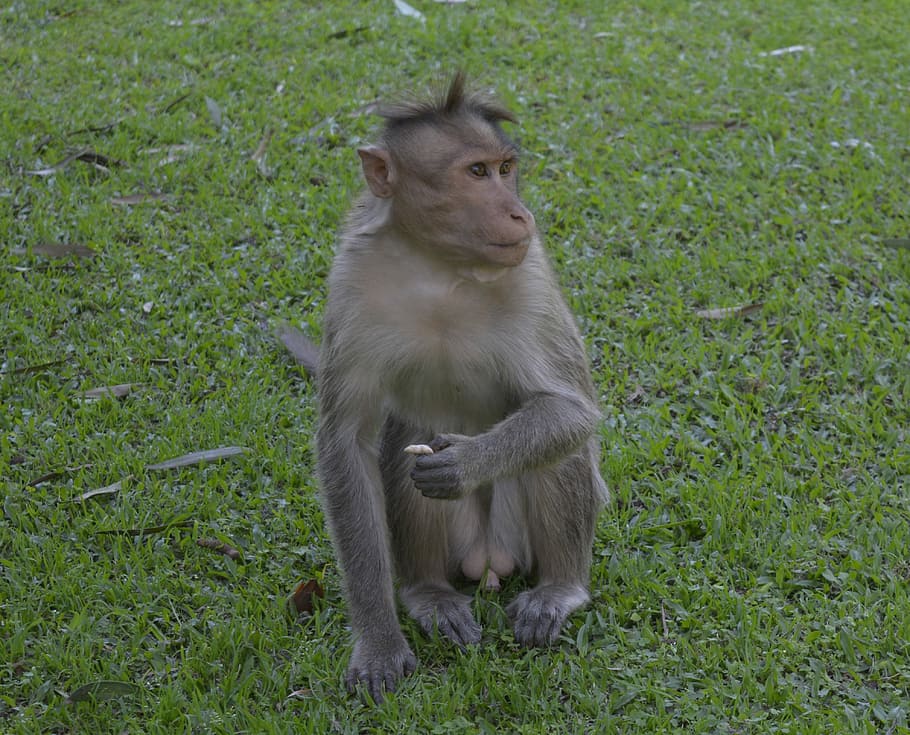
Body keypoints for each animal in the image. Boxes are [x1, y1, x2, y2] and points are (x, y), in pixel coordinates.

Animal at [303, 72, 608, 703]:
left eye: (506, 168)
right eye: (475, 172)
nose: (519, 215)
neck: (439, 266)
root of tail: (489, 563)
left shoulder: (531, 274)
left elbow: (570, 411)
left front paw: (468, 461)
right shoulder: (351, 281)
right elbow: (347, 442)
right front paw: (379, 641)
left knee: (557, 450)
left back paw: (560, 589)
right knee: (404, 444)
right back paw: (430, 596)